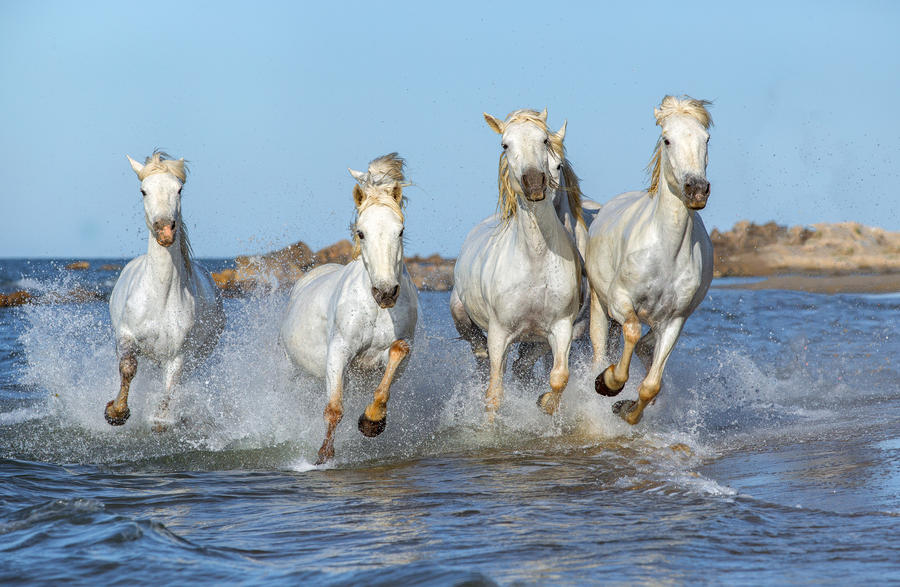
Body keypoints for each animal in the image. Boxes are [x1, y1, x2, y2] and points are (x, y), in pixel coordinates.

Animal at [105, 152, 225, 428]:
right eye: (143, 190)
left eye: (179, 189)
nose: (165, 230)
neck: (159, 297)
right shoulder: (126, 335)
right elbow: (128, 367)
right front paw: (116, 412)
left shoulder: (178, 354)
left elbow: (170, 387)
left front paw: (160, 419)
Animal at [282, 154, 418, 466]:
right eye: (361, 233)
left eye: (401, 231)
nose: (385, 292)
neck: (376, 310)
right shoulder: (338, 351)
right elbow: (334, 408)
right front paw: (323, 457)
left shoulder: (386, 356)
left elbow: (395, 359)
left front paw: (371, 422)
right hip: (294, 370)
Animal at [450, 107, 584, 418]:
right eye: (505, 144)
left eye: (544, 140)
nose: (534, 183)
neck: (535, 259)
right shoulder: (499, 334)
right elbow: (494, 394)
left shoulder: (562, 327)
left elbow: (559, 378)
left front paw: (544, 403)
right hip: (462, 315)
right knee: (482, 358)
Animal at [588, 97, 712, 428]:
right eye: (667, 140)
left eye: (706, 139)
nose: (696, 189)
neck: (665, 253)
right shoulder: (620, 301)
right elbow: (630, 331)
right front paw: (608, 383)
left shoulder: (674, 320)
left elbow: (651, 384)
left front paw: (627, 410)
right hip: (599, 305)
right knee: (600, 350)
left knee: (646, 349)